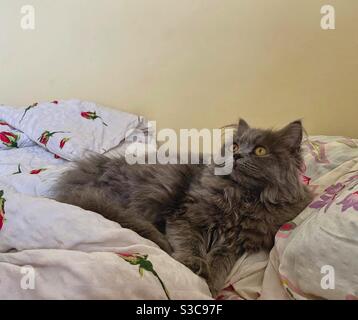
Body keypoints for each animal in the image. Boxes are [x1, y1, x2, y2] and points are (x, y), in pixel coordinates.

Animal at [53, 119, 314, 296]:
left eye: (260, 150)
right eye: (234, 146)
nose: (237, 156)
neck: (241, 198)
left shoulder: (234, 244)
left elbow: (220, 266)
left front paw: (210, 285)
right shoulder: (186, 217)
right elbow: (190, 244)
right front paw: (194, 266)